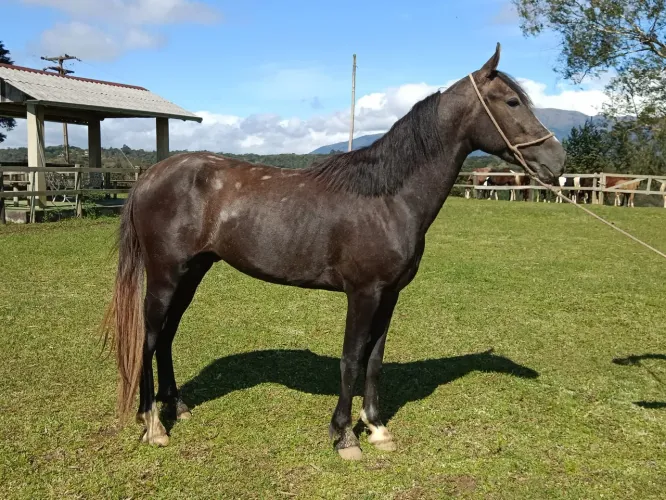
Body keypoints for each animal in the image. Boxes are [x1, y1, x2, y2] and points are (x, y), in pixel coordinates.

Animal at [102, 43, 566, 460]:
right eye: (512, 101)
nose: (557, 161)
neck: (387, 197)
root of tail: (150, 177)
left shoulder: (389, 295)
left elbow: (374, 359)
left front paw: (377, 427)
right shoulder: (363, 293)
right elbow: (351, 359)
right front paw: (344, 436)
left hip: (192, 272)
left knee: (167, 335)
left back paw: (176, 406)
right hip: (166, 275)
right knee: (148, 338)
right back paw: (153, 424)